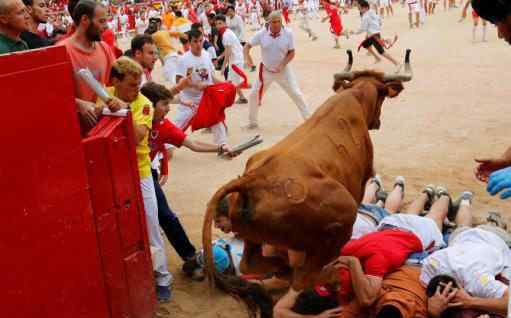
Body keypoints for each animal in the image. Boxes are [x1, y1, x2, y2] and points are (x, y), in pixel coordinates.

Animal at [202, 51, 414, 316]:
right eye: (383, 95)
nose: (377, 122)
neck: (354, 96)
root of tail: (252, 180)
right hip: (341, 222)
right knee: (305, 277)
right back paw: (328, 276)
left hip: (253, 236)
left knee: (251, 263)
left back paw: (283, 267)